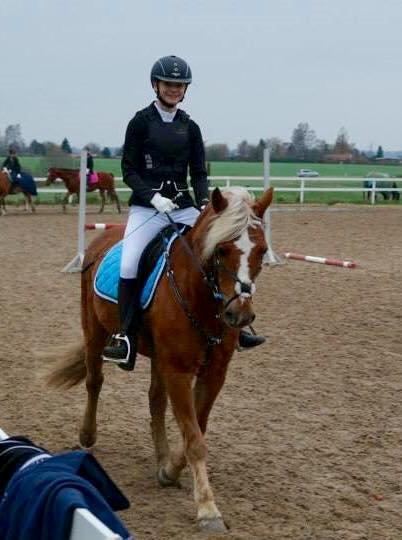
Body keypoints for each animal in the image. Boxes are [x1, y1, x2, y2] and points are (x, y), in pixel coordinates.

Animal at [47, 186, 274, 532]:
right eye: (221, 250)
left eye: (261, 251)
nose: (240, 315)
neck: (203, 299)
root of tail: (105, 237)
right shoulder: (178, 369)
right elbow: (194, 437)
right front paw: (208, 509)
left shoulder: (213, 372)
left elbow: (196, 426)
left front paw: (169, 470)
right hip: (94, 332)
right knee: (94, 381)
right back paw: (87, 434)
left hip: (157, 357)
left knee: (155, 400)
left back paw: (162, 458)